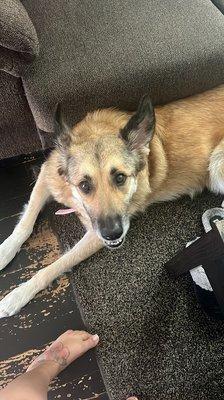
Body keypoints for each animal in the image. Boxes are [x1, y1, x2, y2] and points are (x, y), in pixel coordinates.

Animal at [0, 86, 224, 318]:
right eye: (84, 185)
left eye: (120, 178)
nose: (113, 234)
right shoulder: (46, 174)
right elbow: (25, 223)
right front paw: (4, 252)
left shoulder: (95, 235)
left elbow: (59, 263)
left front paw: (19, 294)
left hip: (216, 166)